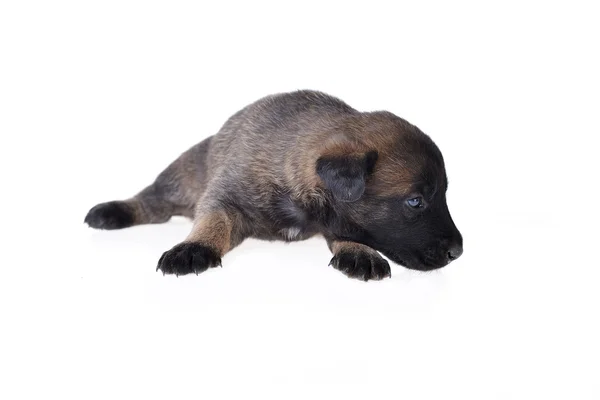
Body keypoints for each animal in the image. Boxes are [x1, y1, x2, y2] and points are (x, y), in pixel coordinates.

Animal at [84, 90, 462, 282]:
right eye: (415, 202)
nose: (457, 253)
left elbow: (347, 231)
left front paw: (359, 251)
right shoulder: (224, 196)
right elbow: (213, 220)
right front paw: (196, 246)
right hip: (180, 177)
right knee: (151, 203)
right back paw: (112, 211)